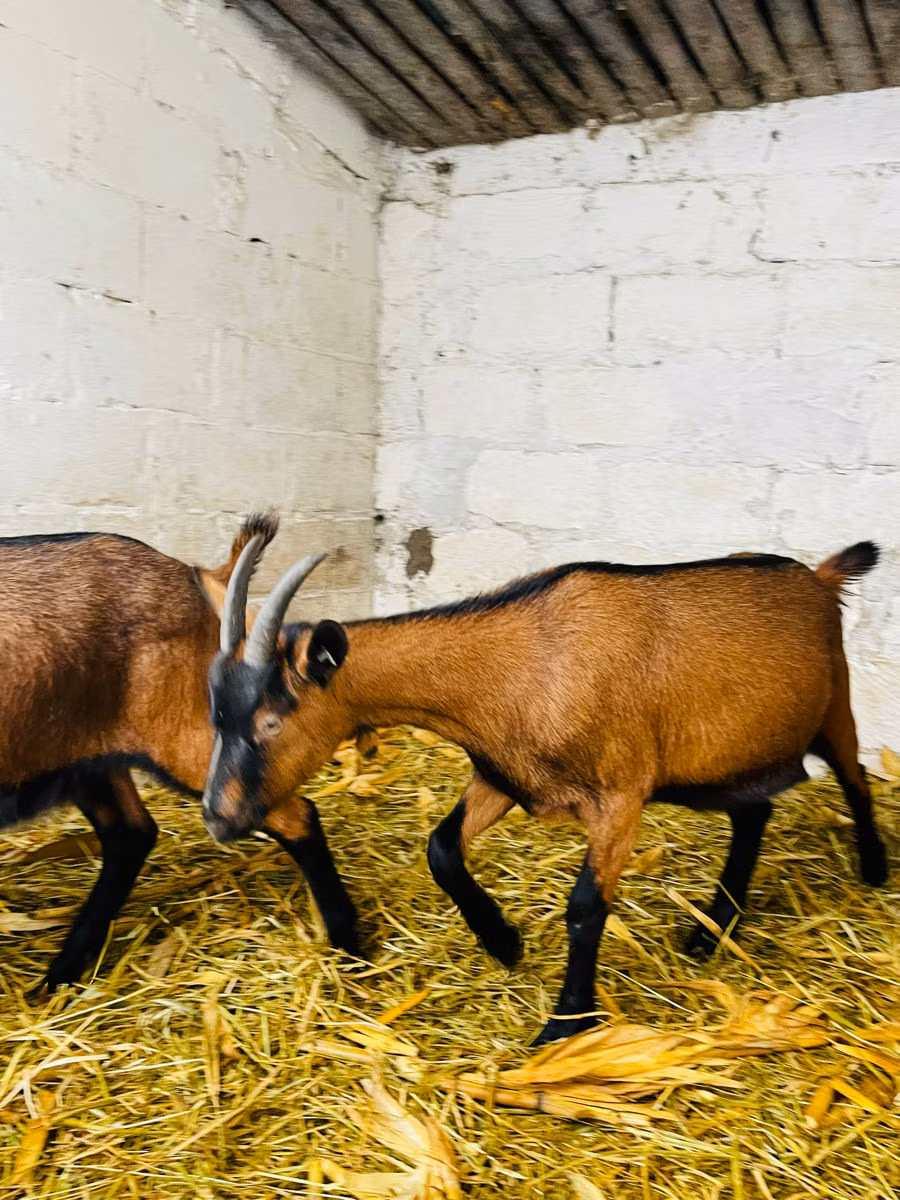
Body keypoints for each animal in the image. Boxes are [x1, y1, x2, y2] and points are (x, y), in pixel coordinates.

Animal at [0, 515, 361, 992]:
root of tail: (200, 575)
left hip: (185, 740)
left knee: (294, 814)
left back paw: (350, 950)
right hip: (88, 757)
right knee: (131, 833)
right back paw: (61, 976)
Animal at [202, 541, 889, 1045]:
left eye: (270, 722)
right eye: (216, 715)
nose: (217, 816)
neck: (527, 658)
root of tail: (821, 578)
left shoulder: (619, 797)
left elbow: (585, 907)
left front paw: (564, 1025)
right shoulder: (504, 776)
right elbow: (440, 847)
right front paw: (504, 943)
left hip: (835, 707)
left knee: (854, 779)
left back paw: (875, 869)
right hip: (725, 761)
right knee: (754, 812)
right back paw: (708, 933)